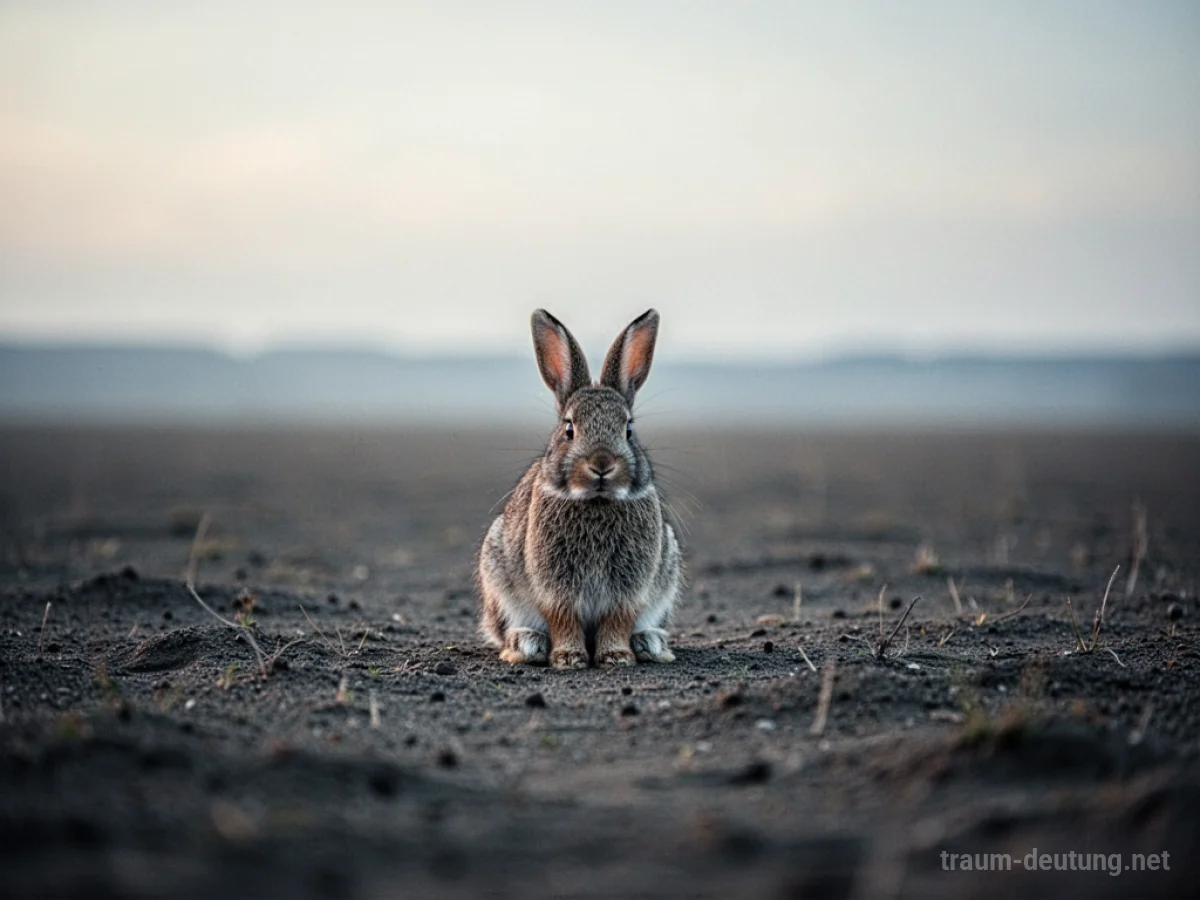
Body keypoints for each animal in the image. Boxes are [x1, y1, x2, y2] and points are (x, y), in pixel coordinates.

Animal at [477, 309, 682, 669]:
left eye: (628, 429)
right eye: (569, 429)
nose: (601, 464)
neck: (596, 501)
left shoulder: (629, 589)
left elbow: (617, 620)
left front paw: (616, 656)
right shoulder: (554, 587)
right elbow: (563, 618)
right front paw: (569, 657)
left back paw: (651, 643)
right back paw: (527, 643)